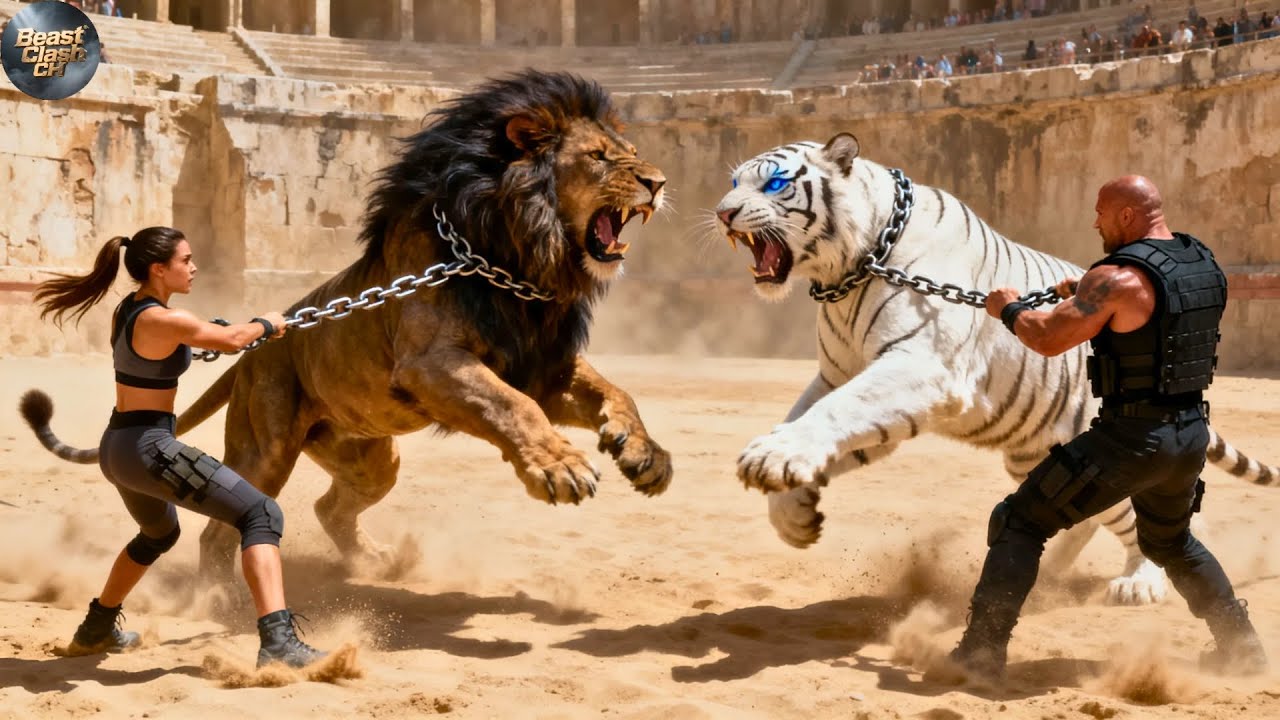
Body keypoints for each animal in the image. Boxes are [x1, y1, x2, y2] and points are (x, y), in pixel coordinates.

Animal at [27, 70, 674, 579]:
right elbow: (510, 406)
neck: (522, 260)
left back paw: (378, 563)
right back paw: (216, 600)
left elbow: (618, 391)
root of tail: (253, 352)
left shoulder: (541, 363)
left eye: (627, 149)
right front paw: (560, 468)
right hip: (266, 450)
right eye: (598, 158)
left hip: (371, 459)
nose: (659, 183)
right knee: (220, 529)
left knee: (328, 509)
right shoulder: (433, 364)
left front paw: (645, 456)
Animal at [713, 132, 1279, 605]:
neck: (853, 267)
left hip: (1106, 455)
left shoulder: (919, 364)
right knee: (1081, 520)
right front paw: (793, 513)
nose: (722, 213)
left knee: (1136, 524)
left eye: (775, 182)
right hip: (1033, 451)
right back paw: (1049, 573)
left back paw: (1138, 583)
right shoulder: (840, 373)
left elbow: (836, 412)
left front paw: (774, 459)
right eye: (735, 182)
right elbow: (811, 414)